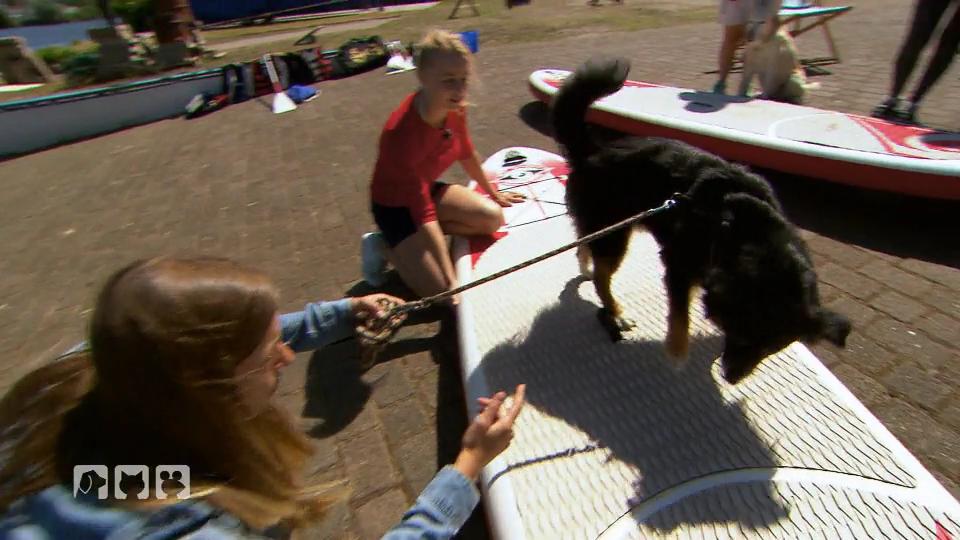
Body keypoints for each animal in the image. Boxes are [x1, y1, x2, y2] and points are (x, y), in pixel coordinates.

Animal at [552, 57, 852, 382]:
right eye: (740, 335)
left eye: (772, 348)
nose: (731, 377)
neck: (743, 223)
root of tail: (592, 150)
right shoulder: (677, 264)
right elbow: (680, 313)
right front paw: (677, 351)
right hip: (615, 236)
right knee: (602, 277)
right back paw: (615, 313)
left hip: (605, 228)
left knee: (585, 244)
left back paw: (586, 266)